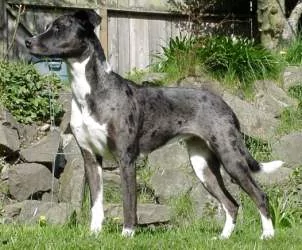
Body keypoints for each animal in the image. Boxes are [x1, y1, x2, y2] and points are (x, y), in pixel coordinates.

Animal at [25, 10, 284, 240]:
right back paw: (223, 238)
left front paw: (127, 234)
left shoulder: (126, 159)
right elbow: (96, 203)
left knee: (260, 195)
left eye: (59, 28)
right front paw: (94, 234)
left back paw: (268, 235)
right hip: (202, 165)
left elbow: (129, 202)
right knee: (231, 203)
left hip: (230, 157)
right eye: (48, 26)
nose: (28, 41)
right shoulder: (90, 157)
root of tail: (227, 106)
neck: (91, 92)